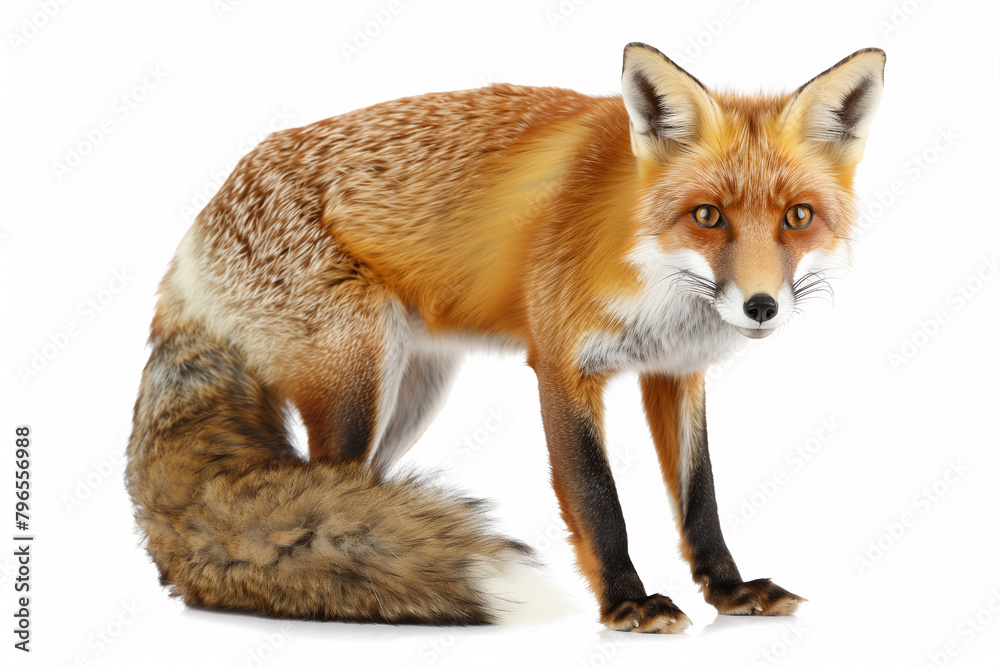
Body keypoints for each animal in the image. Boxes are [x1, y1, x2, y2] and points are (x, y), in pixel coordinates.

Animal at [126, 43, 885, 632]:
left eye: (798, 216)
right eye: (708, 216)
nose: (760, 306)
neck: (653, 273)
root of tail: (185, 253)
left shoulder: (676, 372)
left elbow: (701, 498)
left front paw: (728, 589)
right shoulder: (561, 365)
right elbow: (598, 498)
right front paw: (627, 603)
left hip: (410, 395)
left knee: (355, 501)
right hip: (357, 384)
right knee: (318, 499)